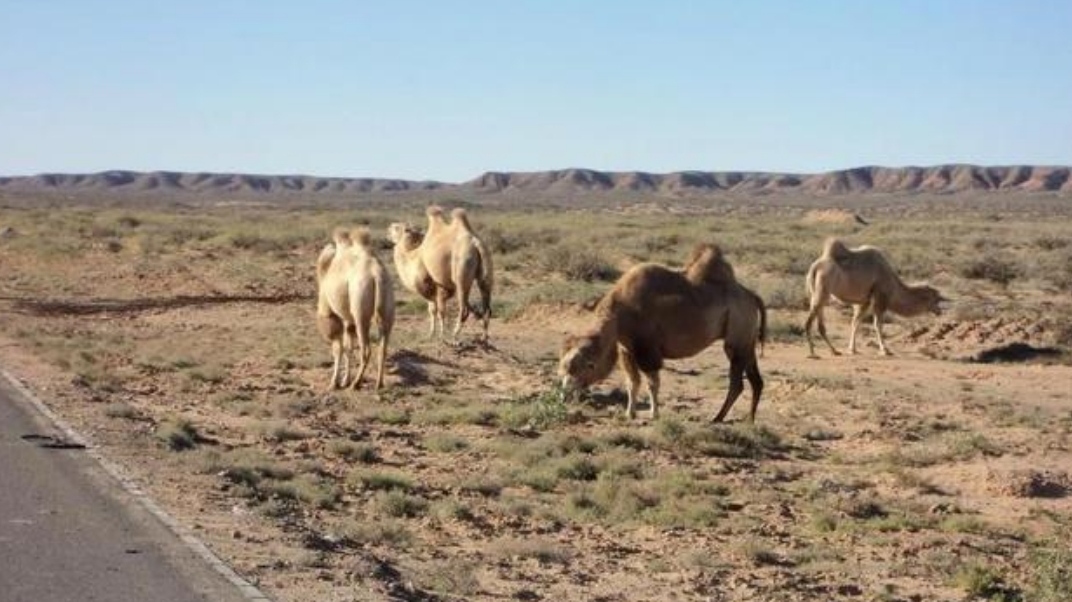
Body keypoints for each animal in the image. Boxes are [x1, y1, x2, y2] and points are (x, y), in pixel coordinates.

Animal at [315, 224, 396, 389]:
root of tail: (376, 274)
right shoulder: (348, 320)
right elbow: (348, 348)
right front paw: (344, 380)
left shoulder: (331, 312)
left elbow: (338, 349)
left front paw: (334, 383)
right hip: (387, 307)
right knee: (382, 348)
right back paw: (379, 383)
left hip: (360, 311)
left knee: (366, 350)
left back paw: (356, 383)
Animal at [385, 203, 493, 340]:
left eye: (396, 228)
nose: (387, 230)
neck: (413, 255)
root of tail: (475, 243)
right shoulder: (445, 287)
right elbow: (434, 310)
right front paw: (431, 334)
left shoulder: (436, 284)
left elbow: (438, 310)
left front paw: (441, 335)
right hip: (485, 271)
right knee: (486, 304)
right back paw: (484, 336)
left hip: (461, 271)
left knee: (463, 307)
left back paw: (455, 333)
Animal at [557, 244, 767, 422]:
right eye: (564, 367)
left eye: (588, 366)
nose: (564, 395)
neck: (620, 315)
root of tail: (752, 296)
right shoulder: (626, 349)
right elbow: (632, 382)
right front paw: (630, 414)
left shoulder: (648, 349)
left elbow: (652, 383)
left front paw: (654, 414)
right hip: (747, 342)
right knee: (756, 380)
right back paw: (749, 420)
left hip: (736, 339)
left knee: (737, 383)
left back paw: (717, 418)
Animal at [806, 235, 947, 355]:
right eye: (935, 299)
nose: (940, 311)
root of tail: (815, 267)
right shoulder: (880, 298)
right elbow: (878, 325)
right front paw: (885, 350)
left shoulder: (864, 301)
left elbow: (855, 322)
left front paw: (852, 349)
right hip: (824, 288)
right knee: (810, 319)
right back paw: (813, 352)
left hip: (817, 292)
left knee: (819, 318)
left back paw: (833, 350)